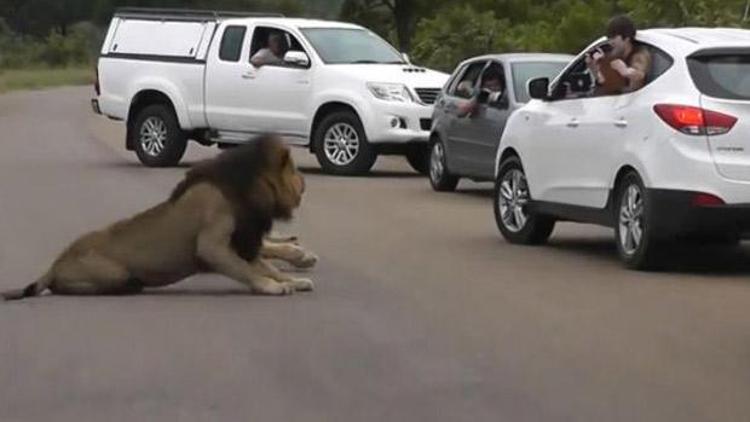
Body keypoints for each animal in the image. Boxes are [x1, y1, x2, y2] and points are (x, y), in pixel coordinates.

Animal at [1, 134, 318, 302]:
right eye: (293, 172)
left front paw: (293, 280)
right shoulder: (212, 244)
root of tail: (55, 264)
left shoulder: (244, 242)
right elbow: (248, 271)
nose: (305, 181)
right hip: (109, 273)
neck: (246, 190)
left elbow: (266, 266)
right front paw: (272, 287)